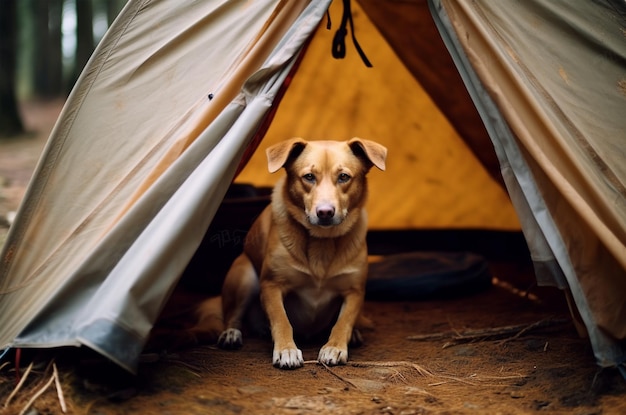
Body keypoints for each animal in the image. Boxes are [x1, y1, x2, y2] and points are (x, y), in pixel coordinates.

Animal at [191, 138, 386, 368]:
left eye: (344, 177)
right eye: (309, 176)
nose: (325, 212)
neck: (321, 242)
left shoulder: (354, 291)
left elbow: (343, 322)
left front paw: (335, 346)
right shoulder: (272, 285)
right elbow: (282, 320)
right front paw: (286, 350)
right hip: (244, 276)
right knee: (233, 316)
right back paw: (232, 333)